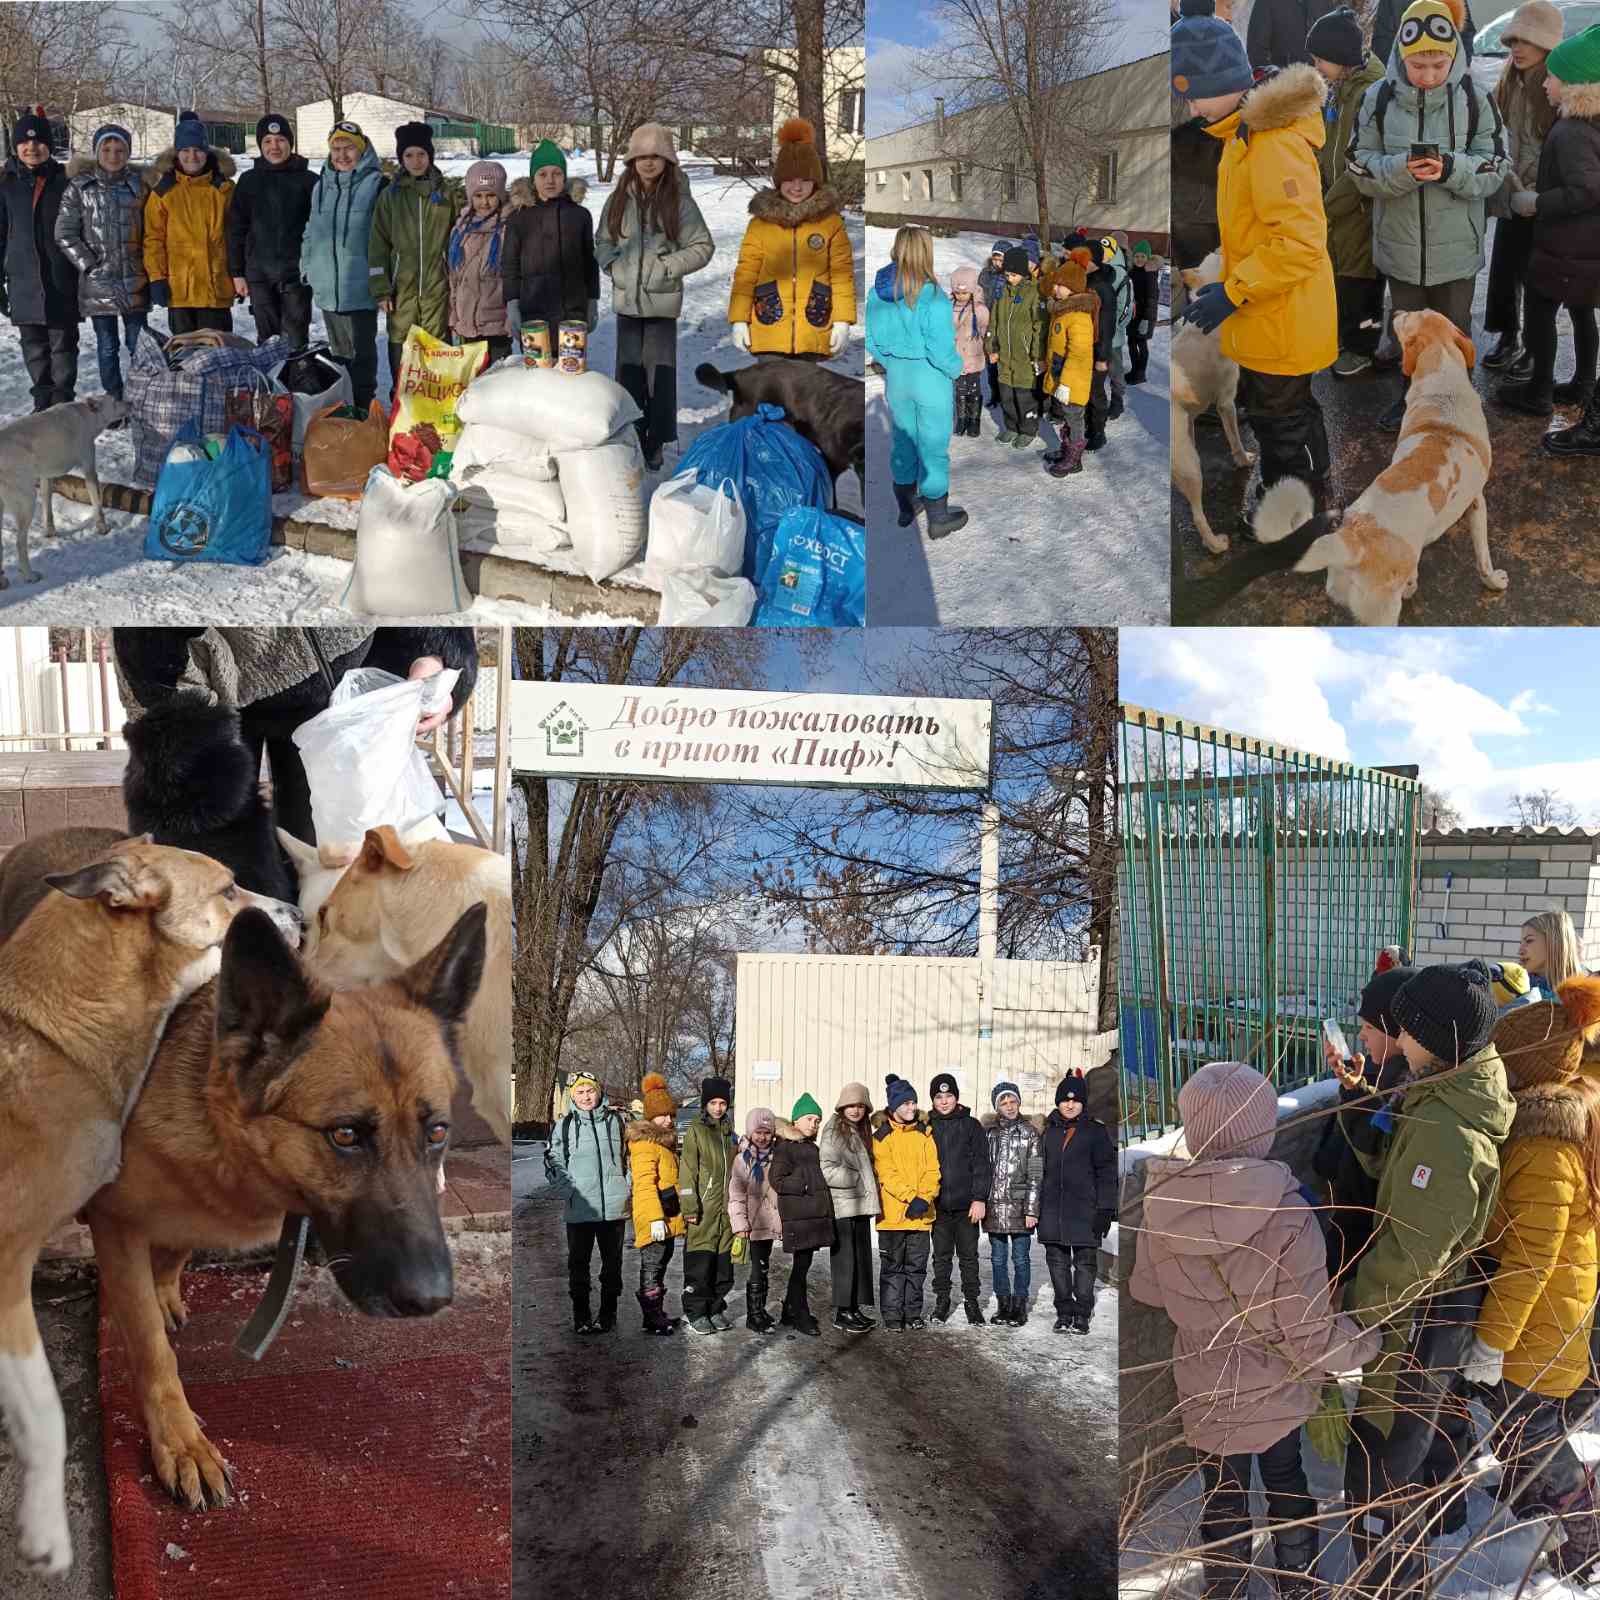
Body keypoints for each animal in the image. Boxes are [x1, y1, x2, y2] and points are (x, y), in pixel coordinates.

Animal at [1171, 246, 1254, 553]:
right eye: (1221, 258)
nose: (1220, 246)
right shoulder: (1226, 402)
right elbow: (1235, 439)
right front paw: (1243, 459)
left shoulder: (1192, 417)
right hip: (1191, 470)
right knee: (1197, 515)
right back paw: (1216, 544)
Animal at [1177, 308, 1497, 620]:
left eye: (1409, 318)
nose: (1397, 311)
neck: (1444, 394)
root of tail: (1352, 540)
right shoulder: (1478, 502)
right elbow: (1483, 555)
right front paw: (1494, 581)